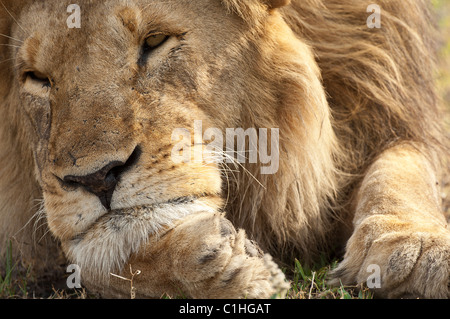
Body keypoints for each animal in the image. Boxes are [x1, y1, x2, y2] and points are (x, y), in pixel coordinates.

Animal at [0, 0, 448, 300]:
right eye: (37, 78)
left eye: (155, 41)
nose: (95, 178)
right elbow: (94, 255)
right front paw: (218, 262)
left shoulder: (388, 116)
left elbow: (403, 168)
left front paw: (416, 247)